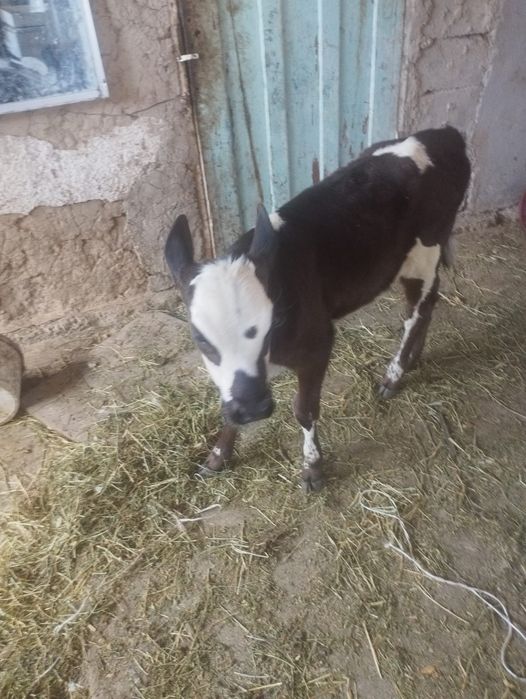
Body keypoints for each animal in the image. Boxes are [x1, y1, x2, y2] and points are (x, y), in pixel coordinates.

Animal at [165, 126, 471, 491]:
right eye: (200, 339)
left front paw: (312, 467)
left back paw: (394, 374)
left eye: (270, 324)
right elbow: (228, 407)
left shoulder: (318, 344)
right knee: (430, 301)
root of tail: (446, 134)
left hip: (425, 253)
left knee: (417, 312)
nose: (253, 408)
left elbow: (304, 409)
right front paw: (218, 456)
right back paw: (414, 358)